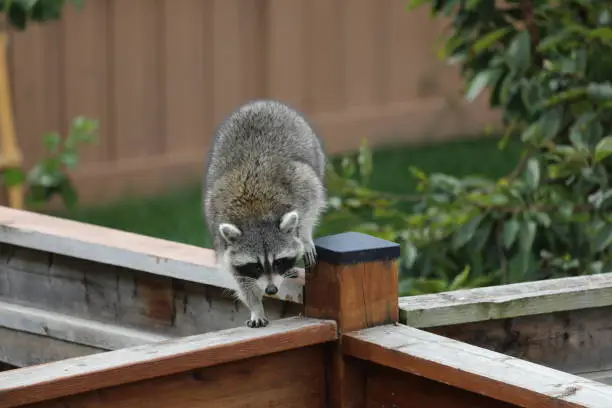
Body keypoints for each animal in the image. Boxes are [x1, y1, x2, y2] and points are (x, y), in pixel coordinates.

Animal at [202, 99, 328, 328]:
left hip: (313, 150)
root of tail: (262, 103)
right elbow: (239, 278)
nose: (271, 290)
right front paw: (255, 306)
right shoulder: (221, 233)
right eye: (256, 266)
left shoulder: (301, 185)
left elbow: (312, 203)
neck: (256, 215)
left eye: (278, 261)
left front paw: (304, 238)